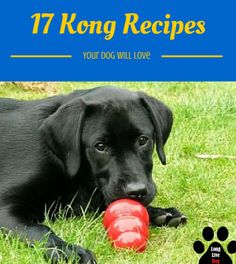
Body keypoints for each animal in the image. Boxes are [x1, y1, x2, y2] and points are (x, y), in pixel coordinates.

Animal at [0, 86, 186, 262]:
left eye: (142, 140)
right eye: (100, 146)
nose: (137, 192)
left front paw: (158, 211)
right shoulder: (4, 207)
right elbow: (39, 229)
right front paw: (68, 250)